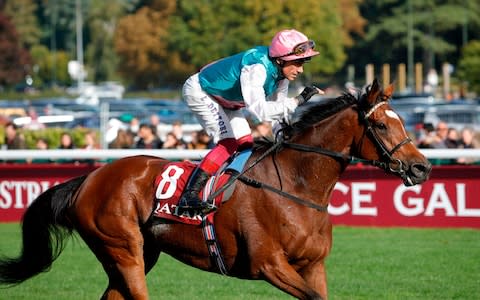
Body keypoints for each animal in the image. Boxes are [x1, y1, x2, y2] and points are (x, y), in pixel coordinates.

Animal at [0, 80, 432, 300]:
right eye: (380, 125)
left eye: (402, 122)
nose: (421, 168)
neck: (296, 186)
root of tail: (88, 179)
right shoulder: (268, 265)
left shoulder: (313, 266)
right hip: (122, 249)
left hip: (134, 255)